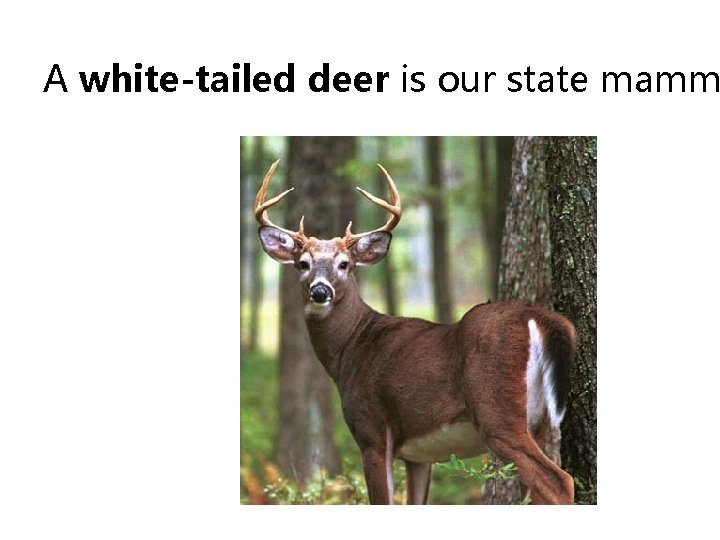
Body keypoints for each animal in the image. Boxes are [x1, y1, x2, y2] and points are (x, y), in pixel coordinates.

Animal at [255, 160, 576, 504]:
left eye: (344, 264)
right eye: (302, 263)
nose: (320, 291)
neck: (351, 348)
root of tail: (538, 317)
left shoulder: (372, 430)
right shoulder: (418, 456)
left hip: (497, 412)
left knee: (557, 481)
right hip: (539, 421)